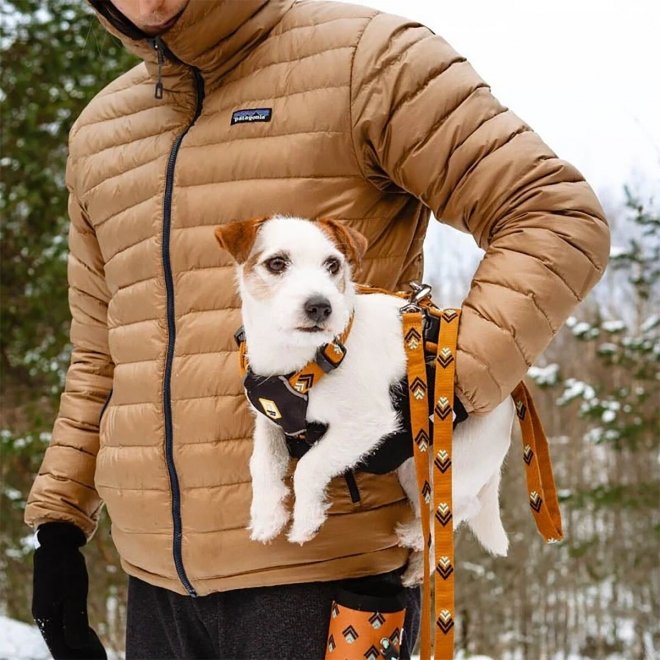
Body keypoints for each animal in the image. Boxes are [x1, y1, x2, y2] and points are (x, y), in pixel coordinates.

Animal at [217, 214, 516, 584]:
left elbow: (309, 467)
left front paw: (306, 520)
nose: (320, 306)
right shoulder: (270, 419)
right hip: (413, 467)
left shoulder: (367, 424)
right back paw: (418, 563)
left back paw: (414, 536)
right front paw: (266, 515)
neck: (303, 361)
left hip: (447, 460)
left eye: (333, 264)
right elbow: (262, 463)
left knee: (457, 507)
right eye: (276, 263)